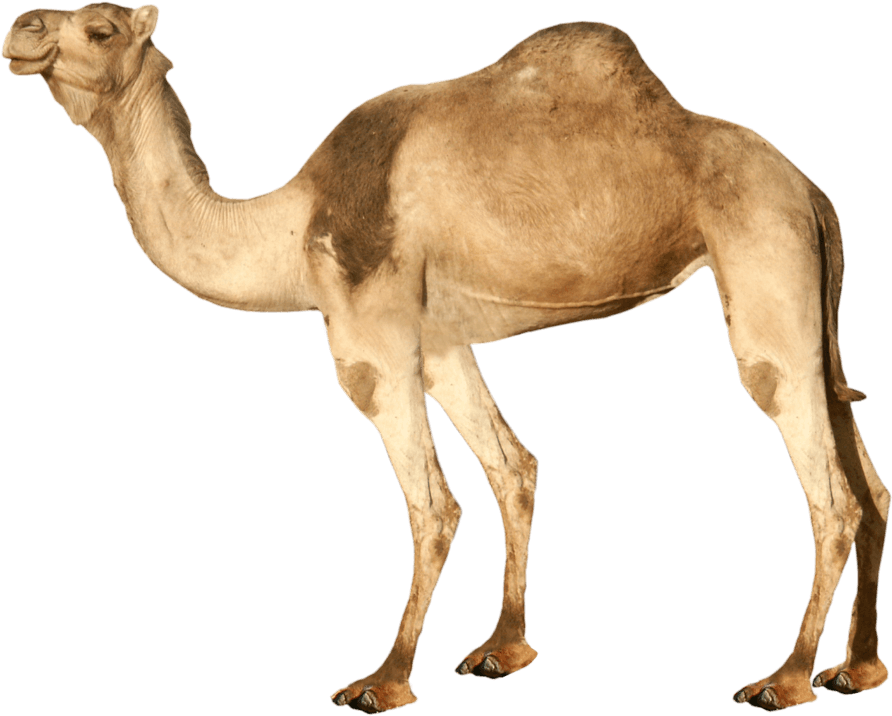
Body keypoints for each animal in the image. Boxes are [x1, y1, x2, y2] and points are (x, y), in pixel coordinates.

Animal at [3, 3, 888, 712]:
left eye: (101, 28)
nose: (21, 28)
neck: (290, 227)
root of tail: (812, 192)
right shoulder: (441, 341)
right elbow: (512, 467)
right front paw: (503, 649)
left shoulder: (371, 335)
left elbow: (432, 503)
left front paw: (383, 681)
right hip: (805, 289)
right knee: (869, 481)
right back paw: (858, 669)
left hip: (763, 255)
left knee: (827, 486)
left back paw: (785, 679)